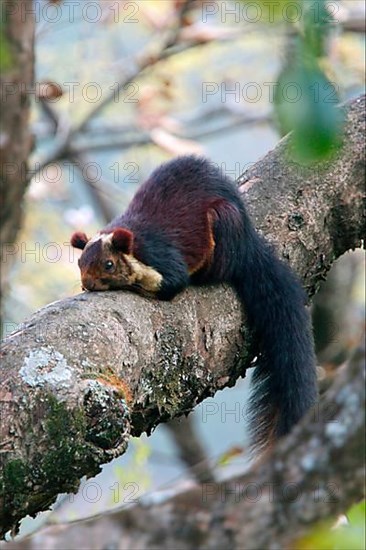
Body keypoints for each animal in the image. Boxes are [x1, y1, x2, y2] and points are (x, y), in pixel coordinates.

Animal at [71, 155, 318, 452]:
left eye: (108, 264)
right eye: (80, 262)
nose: (88, 284)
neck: (135, 246)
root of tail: (248, 242)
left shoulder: (163, 260)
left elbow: (169, 283)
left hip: (222, 226)